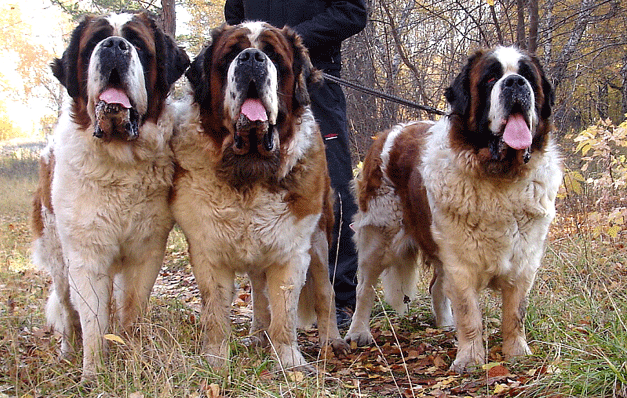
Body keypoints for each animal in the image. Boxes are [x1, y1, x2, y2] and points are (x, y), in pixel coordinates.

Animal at [31, 12, 189, 378]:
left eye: (139, 45)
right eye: (93, 43)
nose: (115, 45)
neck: (120, 162)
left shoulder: (146, 252)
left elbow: (131, 307)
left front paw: (131, 356)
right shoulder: (86, 255)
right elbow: (92, 318)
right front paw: (94, 372)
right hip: (57, 253)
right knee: (67, 308)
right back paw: (67, 352)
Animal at [169, 22, 350, 374]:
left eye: (274, 56)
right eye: (229, 56)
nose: (251, 58)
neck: (249, 173)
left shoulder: (292, 251)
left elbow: (285, 313)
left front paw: (291, 363)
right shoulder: (207, 251)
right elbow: (216, 314)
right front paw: (215, 361)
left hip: (319, 239)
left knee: (325, 290)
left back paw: (331, 340)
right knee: (258, 294)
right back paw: (257, 335)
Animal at [346, 46, 560, 374]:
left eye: (527, 77)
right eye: (490, 79)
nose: (514, 83)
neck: (498, 177)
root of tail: (388, 134)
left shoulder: (524, 259)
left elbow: (515, 313)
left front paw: (517, 353)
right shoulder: (461, 261)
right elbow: (469, 312)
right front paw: (470, 359)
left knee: (436, 286)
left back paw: (445, 325)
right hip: (378, 236)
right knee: (364, 288)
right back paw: (358, 332)